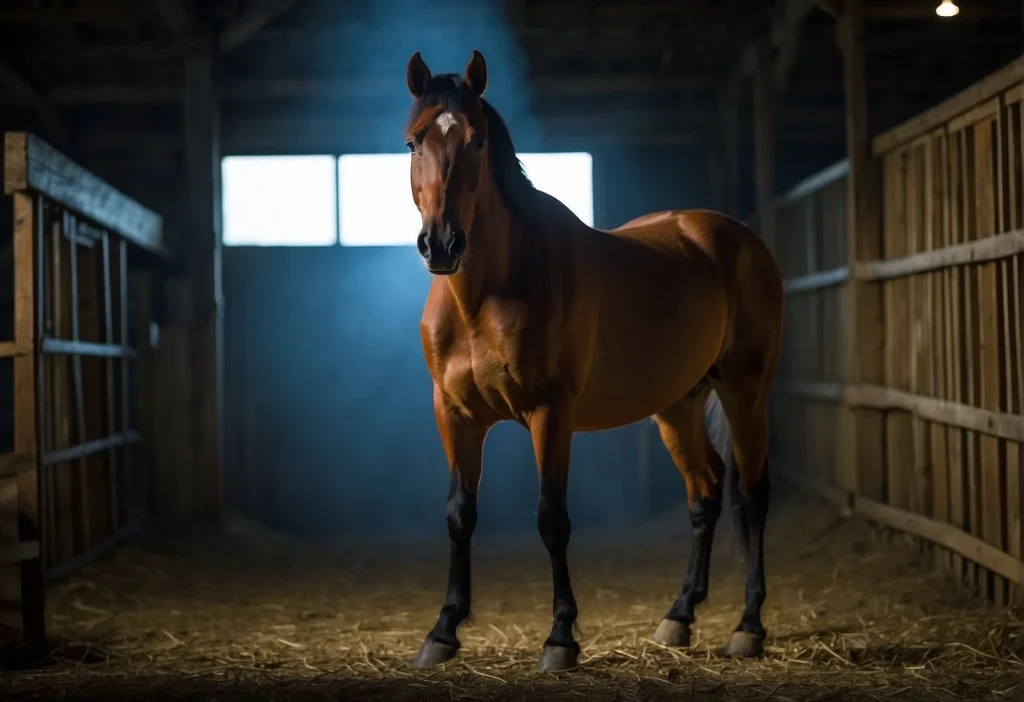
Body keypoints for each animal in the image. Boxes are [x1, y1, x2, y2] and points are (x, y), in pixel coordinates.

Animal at [401, 50, 782, 675]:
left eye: (478, 142)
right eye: (413, 142)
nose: (442, 245)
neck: (488, 294)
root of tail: (737, 237)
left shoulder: (550, 414)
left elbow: (552, 519)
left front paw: (561, 638)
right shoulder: (453, 415)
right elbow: (460, 514)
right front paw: (444, 630)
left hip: (746, 392)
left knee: (752, 495)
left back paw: (748, 627)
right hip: (678, 404)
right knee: (706, 492)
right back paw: (679, 616)